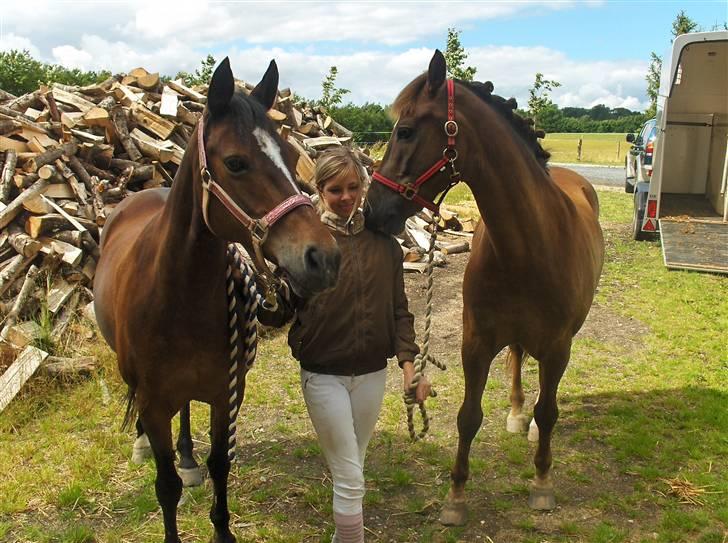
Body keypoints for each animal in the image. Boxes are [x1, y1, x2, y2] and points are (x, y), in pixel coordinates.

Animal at [92, 59, 340, 543]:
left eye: (290, 156)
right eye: (235, 163)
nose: (324, 257)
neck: (175, 296)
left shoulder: (227, 393)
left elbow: (220, 464)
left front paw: (222, 529)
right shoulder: (153, 403)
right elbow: (165, 487)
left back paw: (187, 456)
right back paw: (142, 443)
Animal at [366, 51, 604, 528]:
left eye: (406, 130)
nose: (371, 210)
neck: (529, 245)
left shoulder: (558, 347)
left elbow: (549, 412)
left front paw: (542, 484)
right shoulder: (475, 343)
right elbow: (467, 417)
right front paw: (455, 496)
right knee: (515, 358)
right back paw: (515, 413)